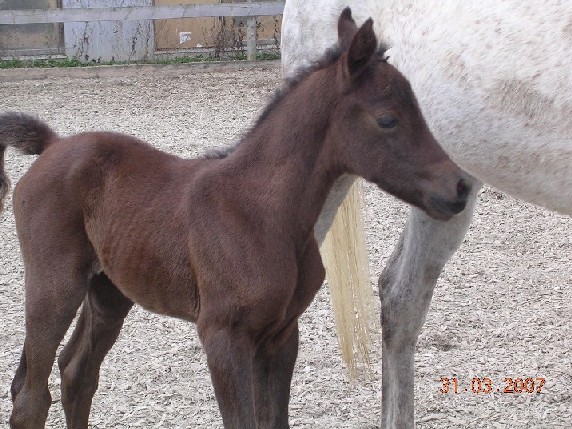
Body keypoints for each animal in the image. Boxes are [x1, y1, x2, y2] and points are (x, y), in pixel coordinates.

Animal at [0, 9, 470, 429]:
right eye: (387, 119)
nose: (460, 187)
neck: (261, 213)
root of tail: (52, 145)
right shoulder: (223, 336)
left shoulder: (280, 335)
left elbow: (272, 420)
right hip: (55, 284)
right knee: (31, 396)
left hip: (109, 289)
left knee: (76, 372)